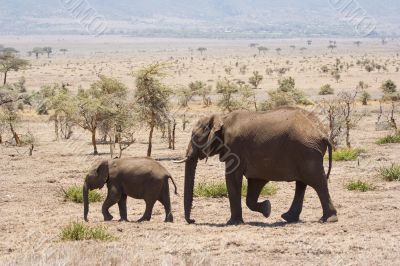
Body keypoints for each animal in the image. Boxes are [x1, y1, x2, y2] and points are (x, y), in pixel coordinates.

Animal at [181, 107, 338, 225]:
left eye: (194, 137)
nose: (193, 220)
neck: (222, 118)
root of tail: (322, 133)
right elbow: (254, 185)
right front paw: (267, 209)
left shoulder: (235, 149)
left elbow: (232, 178)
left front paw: (232, 222)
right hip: (305, 152)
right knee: (302, 183)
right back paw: (288, 218)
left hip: (307, 152)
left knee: (317, 182)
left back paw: (328, 219)